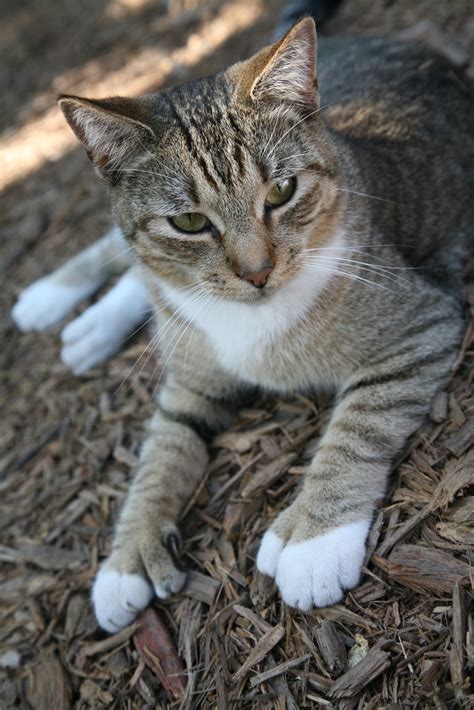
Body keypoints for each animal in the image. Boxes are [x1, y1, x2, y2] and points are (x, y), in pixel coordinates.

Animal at [11, 9, 474, 636]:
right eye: (188, 223)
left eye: (282, 191)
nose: (257, 272)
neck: (244, 316)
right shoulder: (188, 383)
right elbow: (160, 453)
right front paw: (127, 558)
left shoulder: (421, 325)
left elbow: (359, 424)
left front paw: (312, 540)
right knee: (124, 255)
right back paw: (56, 301)